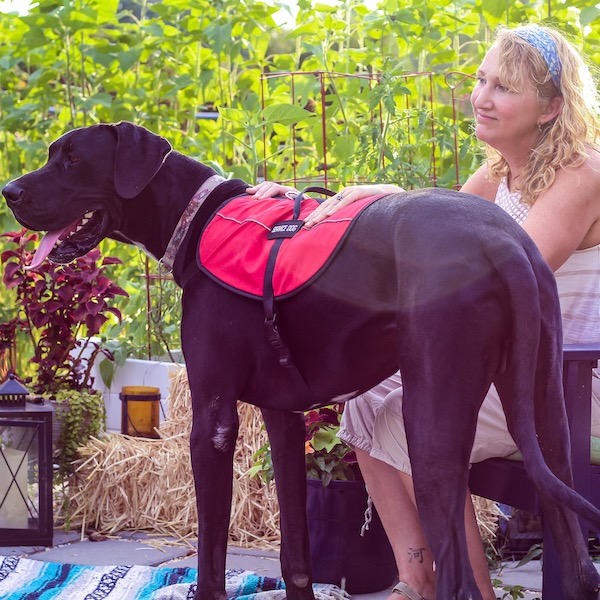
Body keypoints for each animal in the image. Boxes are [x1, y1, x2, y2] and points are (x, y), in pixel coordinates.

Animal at [4, 122, 600, 600]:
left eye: (72, 159)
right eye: (53, 153)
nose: (9, 191)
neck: (198, 216)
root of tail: (504, 244)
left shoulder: (212, 422)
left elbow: (212, 561)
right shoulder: (284, 419)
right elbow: (295, 553)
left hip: (429, 431)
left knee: (458, 580)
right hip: (549, 422)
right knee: (575, 566)